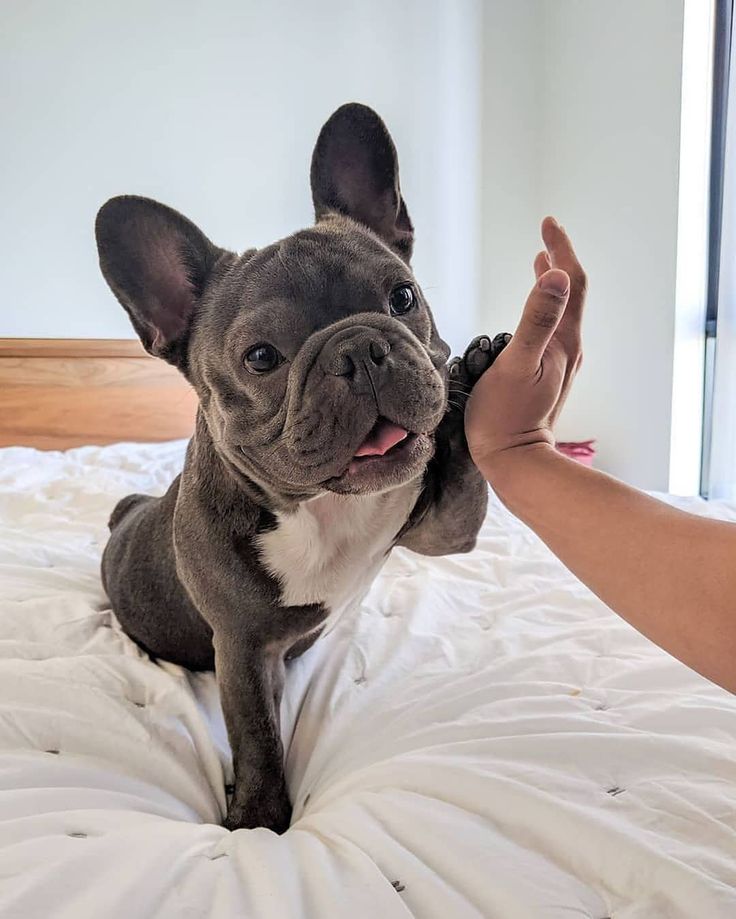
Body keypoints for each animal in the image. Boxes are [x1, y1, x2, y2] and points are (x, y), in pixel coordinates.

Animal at [95, 104, 508, 832]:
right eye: (261, 357)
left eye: (403, 297)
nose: (361, 348)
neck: (322, 505)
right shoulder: (242, 649)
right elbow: (257, 733)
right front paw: (259, 818)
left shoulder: (438, 528)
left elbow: (461, 487)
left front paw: (475, 378)